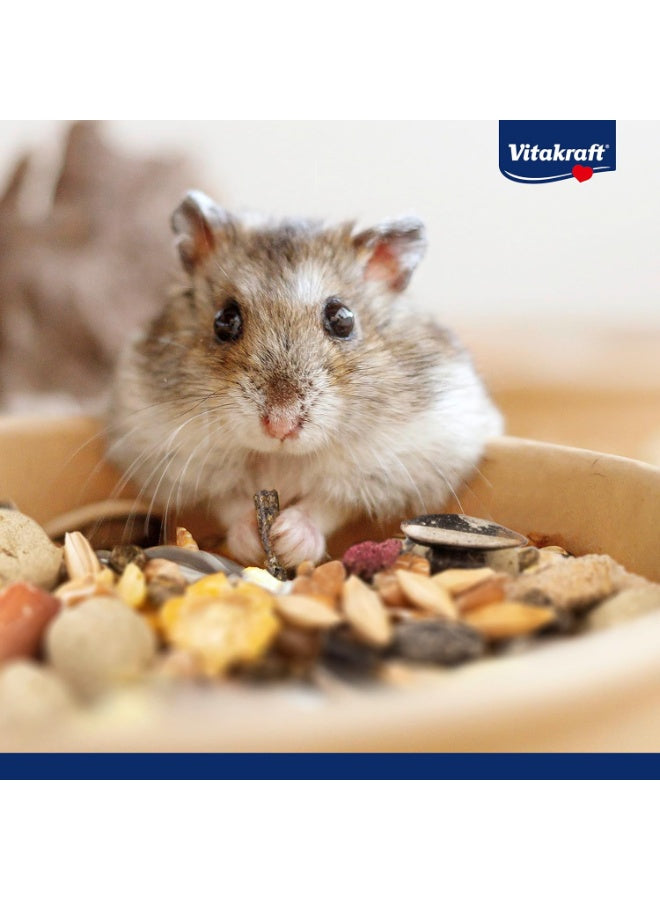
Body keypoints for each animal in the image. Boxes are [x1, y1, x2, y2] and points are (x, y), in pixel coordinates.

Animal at [107, 190, 503, 567]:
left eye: (343, 319)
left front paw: (286, 538)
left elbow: (329, 503)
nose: (280, 426)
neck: (283, 458)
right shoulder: (172, 454)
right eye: (224, 320)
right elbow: (230, 501)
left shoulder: (401, 459)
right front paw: (255, 539)